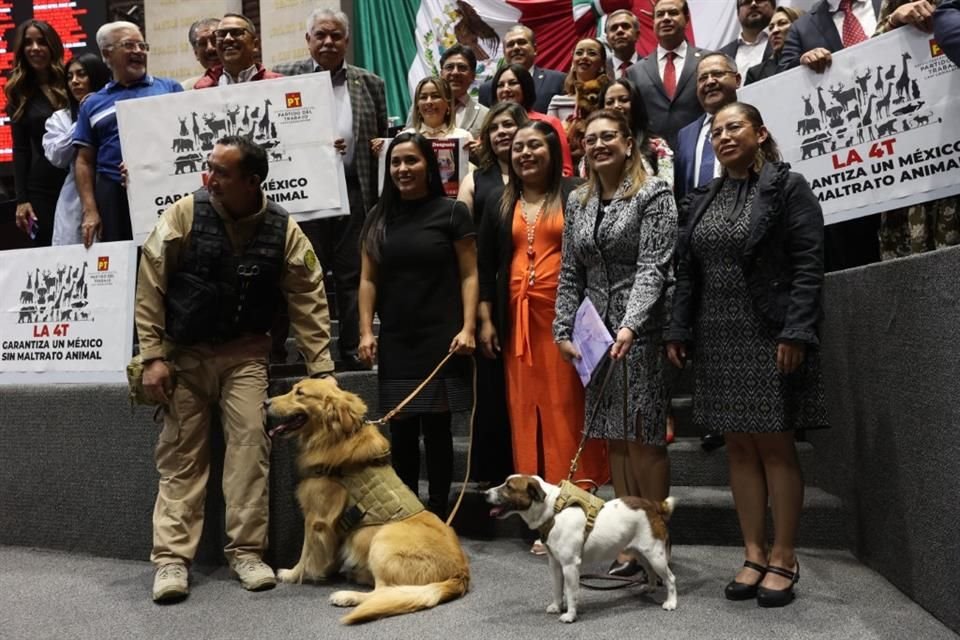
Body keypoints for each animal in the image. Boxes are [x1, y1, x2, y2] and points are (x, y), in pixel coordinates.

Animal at [264, 378, 470, 624]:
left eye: (300, 393)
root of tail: (461, 574)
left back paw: (347, 595)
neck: (336, 436)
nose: (265, 402)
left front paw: (292, 574)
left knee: (382, 592)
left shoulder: (316, 518)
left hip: (382, 539)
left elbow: (306, 554)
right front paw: (326, 569)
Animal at [484, 476, 680, 620]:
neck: (554, 511)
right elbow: (557, 589)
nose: (484, 493)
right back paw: (650, 587)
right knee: (650, 571)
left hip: (655, 555)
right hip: (640, 553)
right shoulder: (555, 564)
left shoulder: (570, 566)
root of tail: (653, 505)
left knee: (670, 578)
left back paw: (671, 602)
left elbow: (571, 593)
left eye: (508, 487)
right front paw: (557, 606)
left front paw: (570, 615)